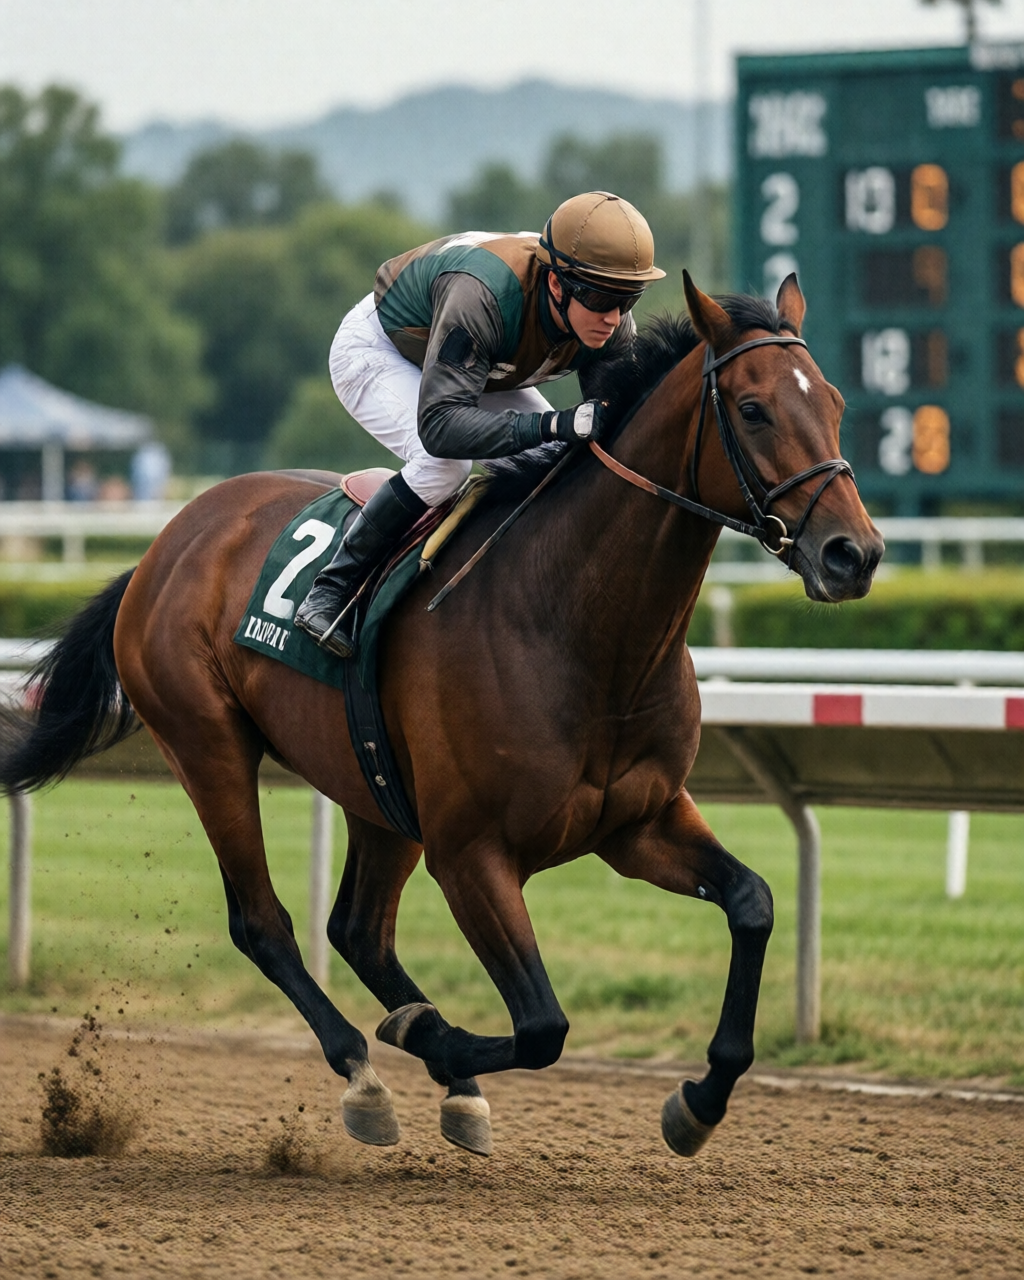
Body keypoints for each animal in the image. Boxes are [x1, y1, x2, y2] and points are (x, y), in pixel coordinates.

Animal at [0, 274, 882, 1160]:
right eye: (752, 409)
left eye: (835, 401)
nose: (856, 554)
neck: (578, 625)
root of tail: (164, 544)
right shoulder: (469, 854)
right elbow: (543, 1026)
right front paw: (433, 1040)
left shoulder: (639, 821)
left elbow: (753, 903)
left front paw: (697, 1101)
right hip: (207, 746)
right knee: (263, 922)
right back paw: (368, 1069)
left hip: (373, 784)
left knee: (357, 928)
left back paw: (438, 1067)